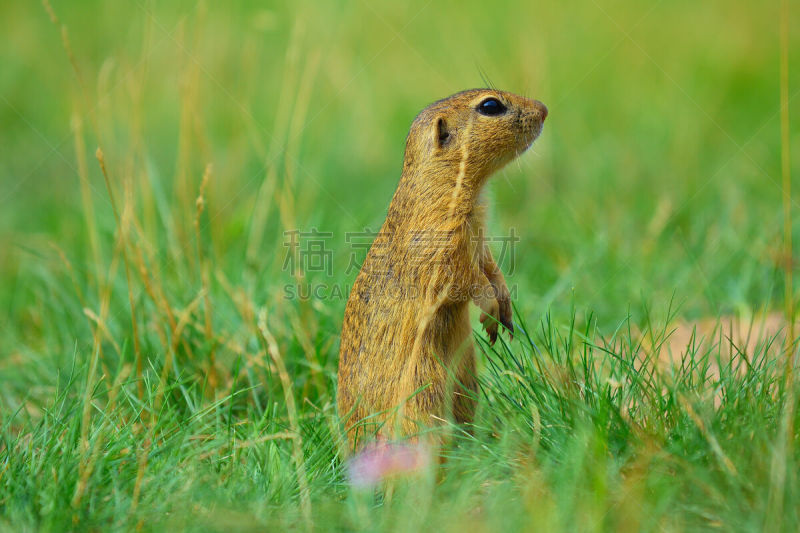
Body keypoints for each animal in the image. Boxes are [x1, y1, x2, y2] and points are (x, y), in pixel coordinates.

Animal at [334, 89, 548, 446]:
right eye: (490, 105)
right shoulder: (440, 247)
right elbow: (466, 279)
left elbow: (491, 269)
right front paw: (490, 311)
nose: (544, 110)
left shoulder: (479, 241)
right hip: (426, 393)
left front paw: (504, 309)